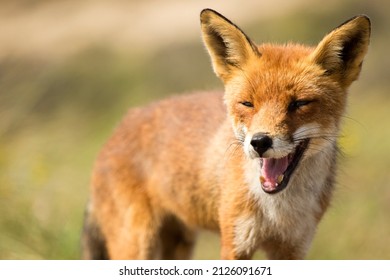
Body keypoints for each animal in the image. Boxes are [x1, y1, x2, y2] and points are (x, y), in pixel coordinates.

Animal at [81, 8, 368, 260]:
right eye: (248, 104)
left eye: (299, 104)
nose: (259, 142)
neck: (277, 211)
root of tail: (120, 125)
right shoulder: (235, 243)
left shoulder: (293, 248)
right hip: (137, 244)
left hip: (178, 244)